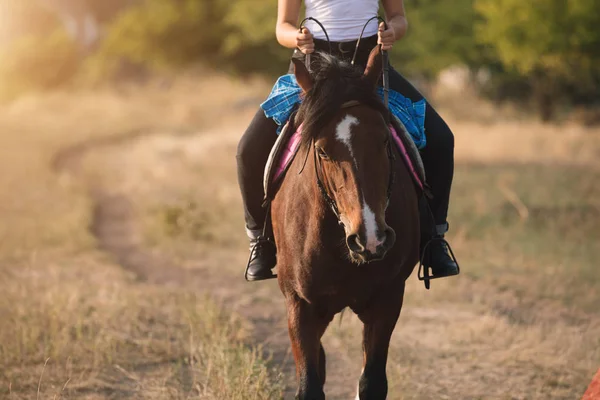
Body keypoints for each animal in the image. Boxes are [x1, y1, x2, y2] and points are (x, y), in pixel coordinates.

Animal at [270, 45, 418, 398]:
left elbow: (372, 383)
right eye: (322, 151)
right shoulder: (300, 306)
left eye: (385, 140)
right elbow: (309, 385)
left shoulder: (387, 301)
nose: (370, 239)